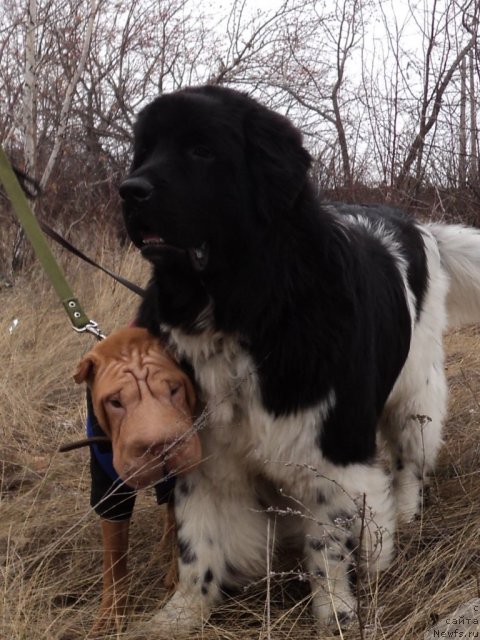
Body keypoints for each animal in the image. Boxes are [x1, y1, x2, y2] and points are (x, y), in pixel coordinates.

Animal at [72, 328, 200, 636]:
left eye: (174, 389)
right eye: (115, 402)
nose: (162, 446)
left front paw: (176, 578)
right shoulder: (109, 492)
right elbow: (115, 560)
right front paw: (111, 615)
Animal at [119, 86, 480, 636]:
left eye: (202, 151)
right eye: (145, 150)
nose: (128, 189)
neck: (244, 309)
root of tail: (416, 225)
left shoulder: (329, 450)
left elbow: (328, 545)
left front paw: (336, 614)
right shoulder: (205, 451)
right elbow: (197, 542)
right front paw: (180, 615)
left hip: (416, 389)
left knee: (409, 458)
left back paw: (406, 513)